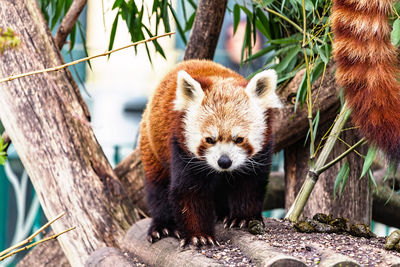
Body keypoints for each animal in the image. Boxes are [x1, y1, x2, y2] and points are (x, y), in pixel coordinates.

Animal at [140, 59, 282, 248]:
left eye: (239, 139)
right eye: (209, 139)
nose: (224, 161)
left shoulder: (263, 149)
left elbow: (249, 184)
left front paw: (243, 218)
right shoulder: (181, 146)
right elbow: (189, 192)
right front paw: (199, 235)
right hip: (152, 147)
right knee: (158, 189)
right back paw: (163, 226)